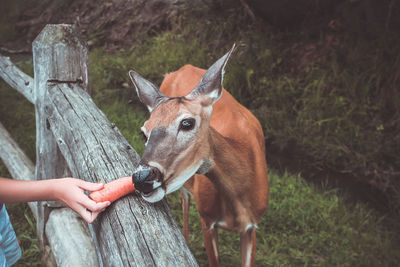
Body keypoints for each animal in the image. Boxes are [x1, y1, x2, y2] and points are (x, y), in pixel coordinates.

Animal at [130, 46, 268, 267]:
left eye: (187, 123)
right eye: (144, 132)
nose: (141, 178)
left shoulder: (251, 227)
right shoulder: (206, 219)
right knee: (184, 197)